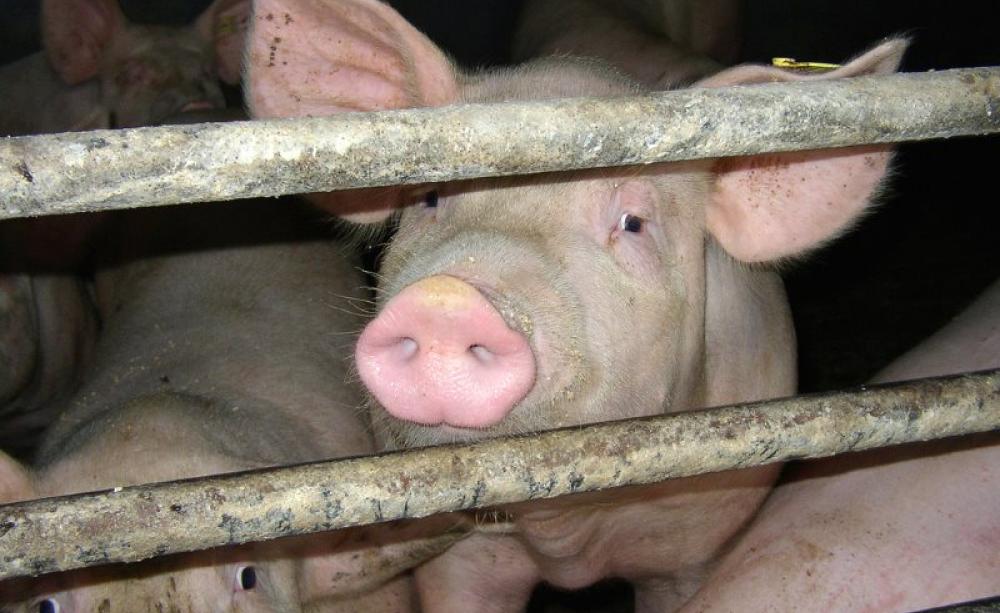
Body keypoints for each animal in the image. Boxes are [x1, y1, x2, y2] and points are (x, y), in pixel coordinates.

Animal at [246, 1, 905, 610]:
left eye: (633, 223)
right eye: (431, 196)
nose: (446, 298)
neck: (565, 539)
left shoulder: (692, 546)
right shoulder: (456, 557)